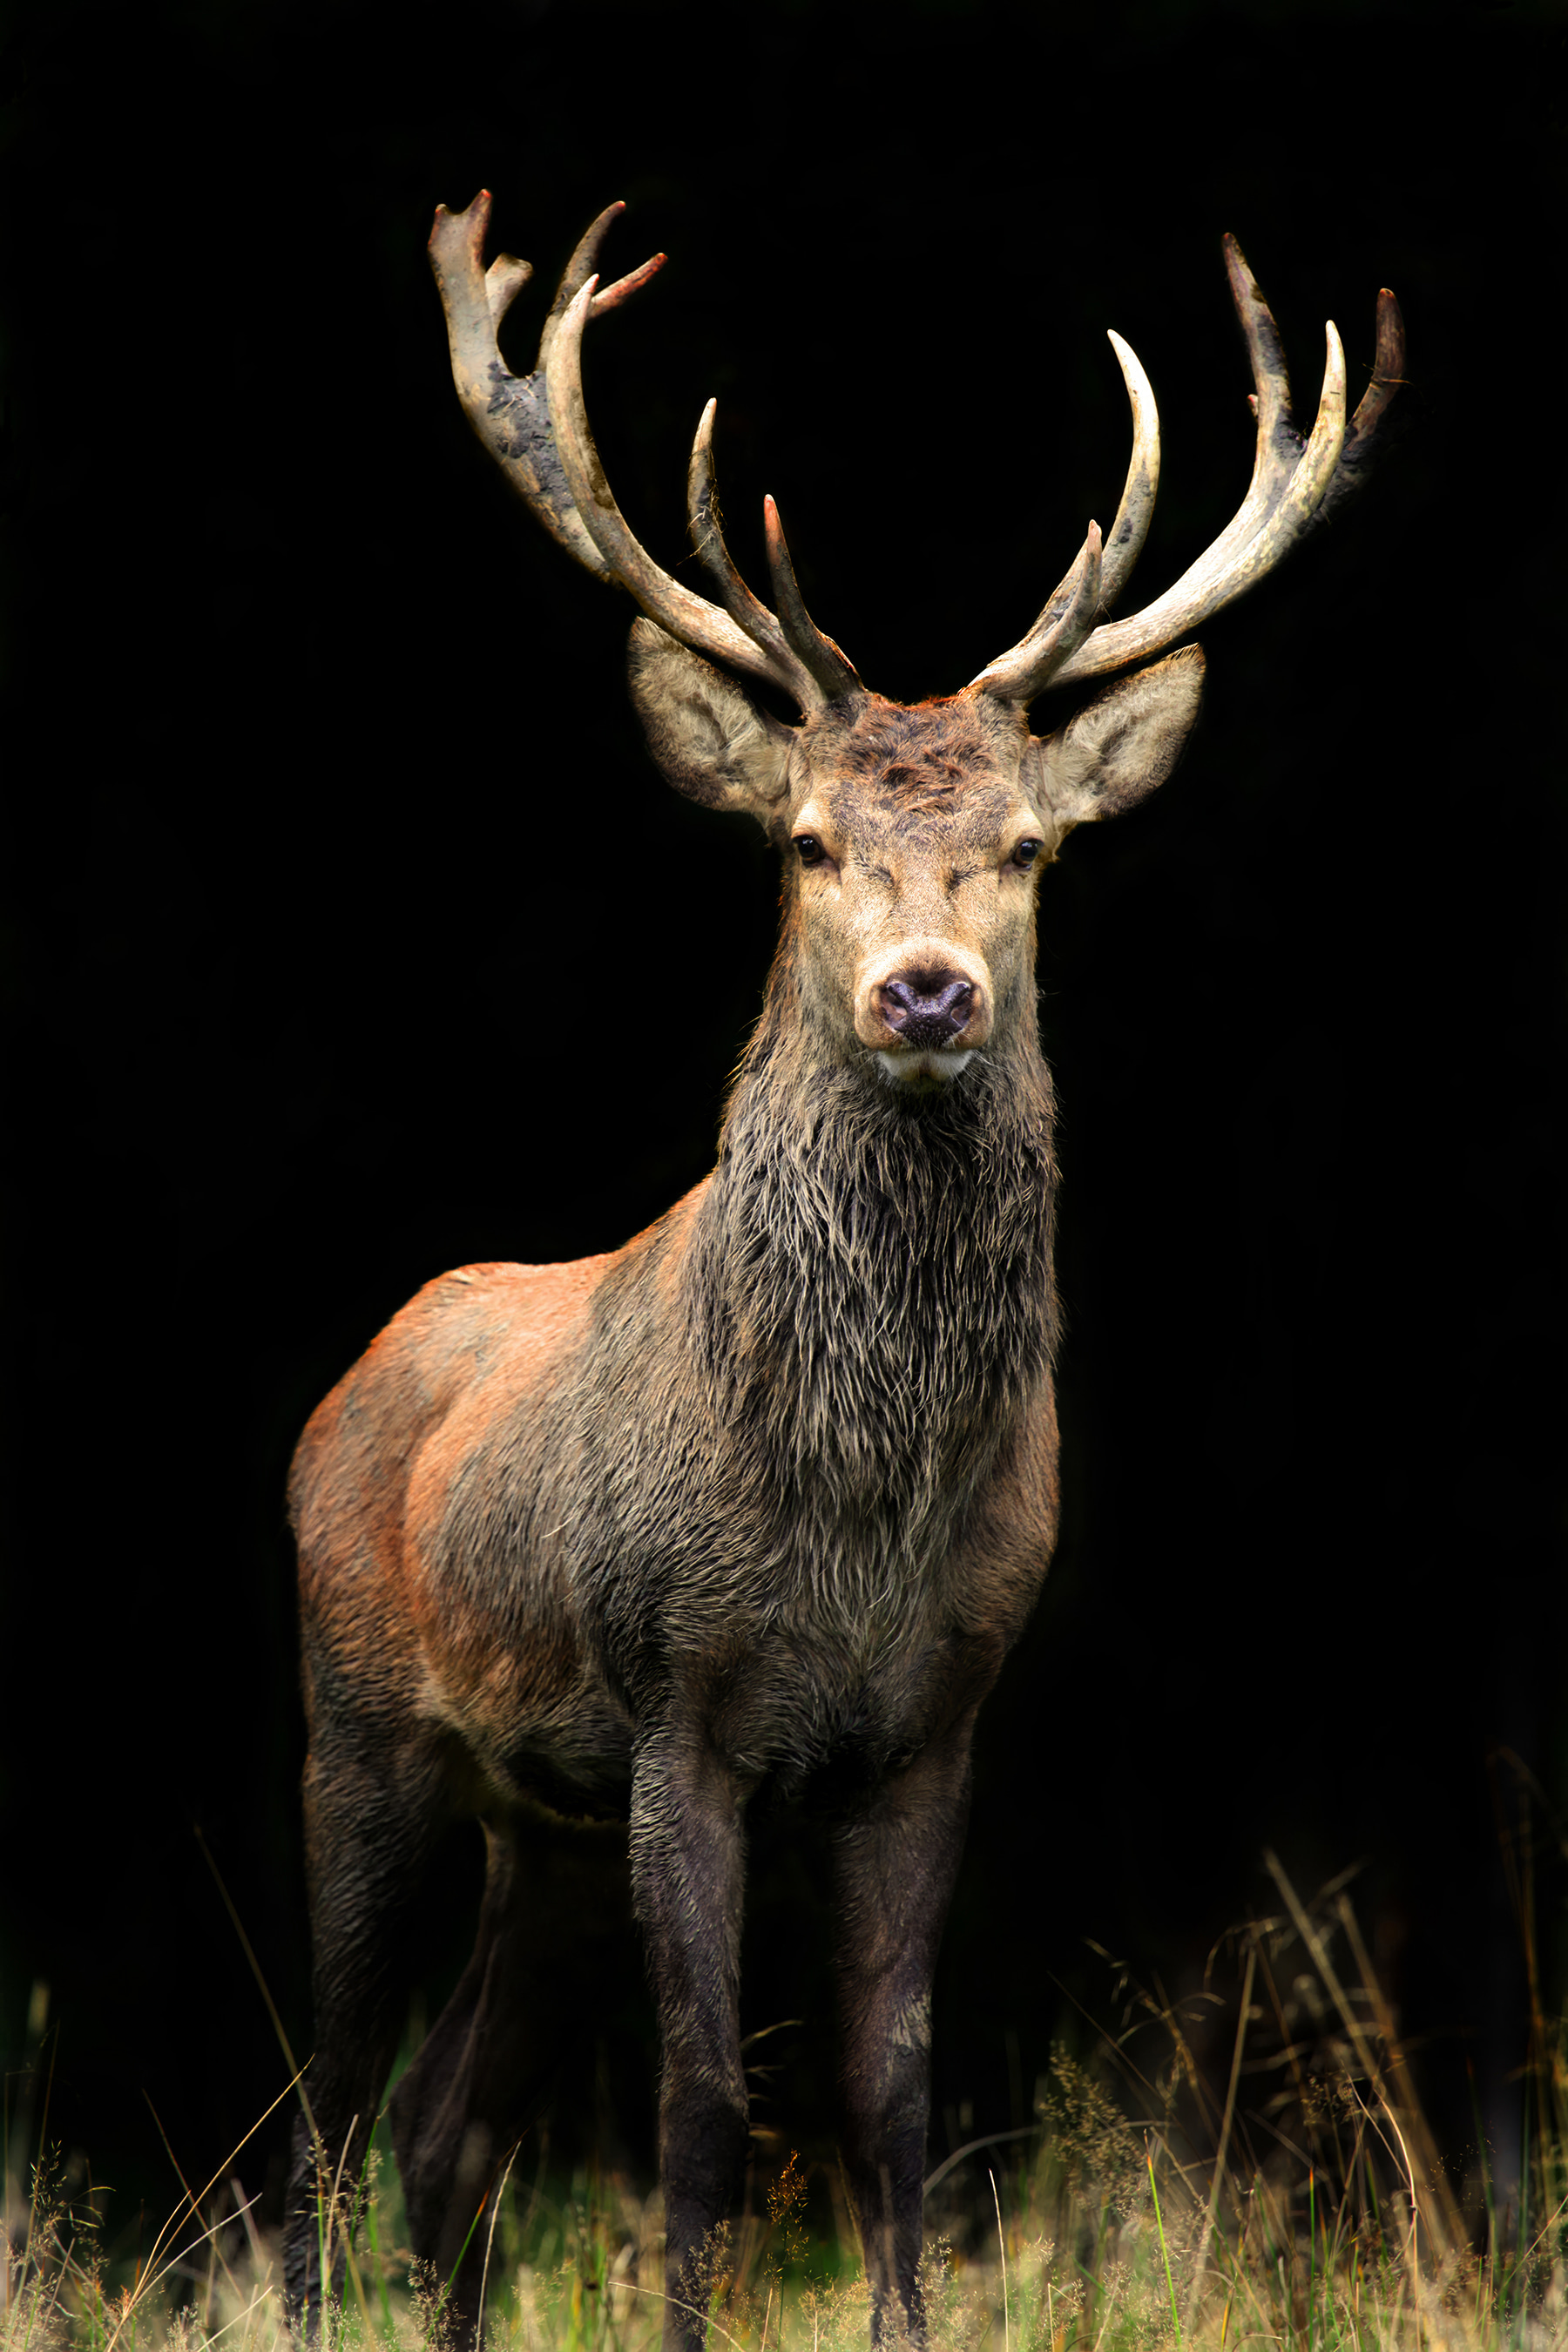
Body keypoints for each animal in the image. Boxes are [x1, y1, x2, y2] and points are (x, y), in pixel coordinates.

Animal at [283, 189, 1403, 2349]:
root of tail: (346, 1383)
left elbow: (895, 2097)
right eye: (805, 839)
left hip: (543, 1825)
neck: (853, 1520)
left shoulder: (934, 1724)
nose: (927, 990)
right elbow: (708, 2108)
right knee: (320, 2097)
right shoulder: (680, 1700)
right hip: (360, 1723)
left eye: (1032, 849)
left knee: (445, 2129)